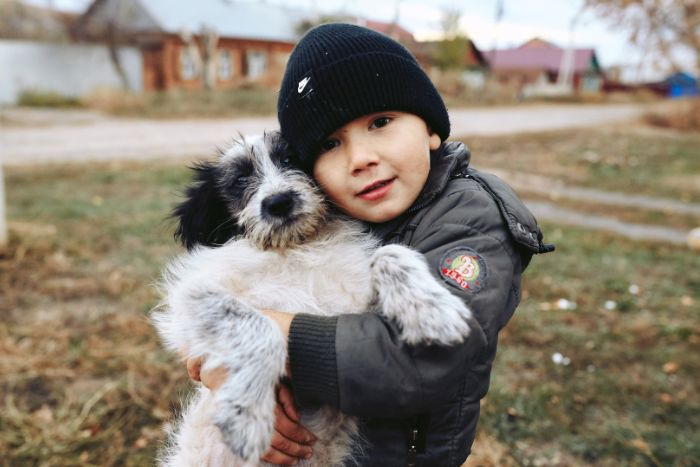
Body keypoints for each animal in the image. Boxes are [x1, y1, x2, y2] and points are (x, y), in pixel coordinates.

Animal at [152, 133, 470, 467]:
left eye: (290, 159)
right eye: (240, 179)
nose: (279, 202)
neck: (295, 248)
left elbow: (388, 252)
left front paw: (432, 309)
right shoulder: (189, 304)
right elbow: (260, 327)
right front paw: (247, 415)